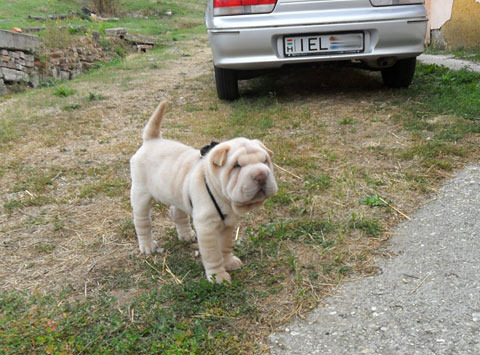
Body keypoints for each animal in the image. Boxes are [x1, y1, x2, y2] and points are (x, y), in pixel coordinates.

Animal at [130, 102, 278, 284]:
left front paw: (229, 262)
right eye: (236, 166)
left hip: (177, 192)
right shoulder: (207, 228)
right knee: (142, 221)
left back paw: (186, 234)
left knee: (177, 213)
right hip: (140, 193)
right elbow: (213, 254)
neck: (222, 197)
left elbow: (225, 246)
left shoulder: (228, 224)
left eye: (265, 161)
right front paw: (218, 276)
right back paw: (147, 246)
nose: (261, 175)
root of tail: (152, 140)